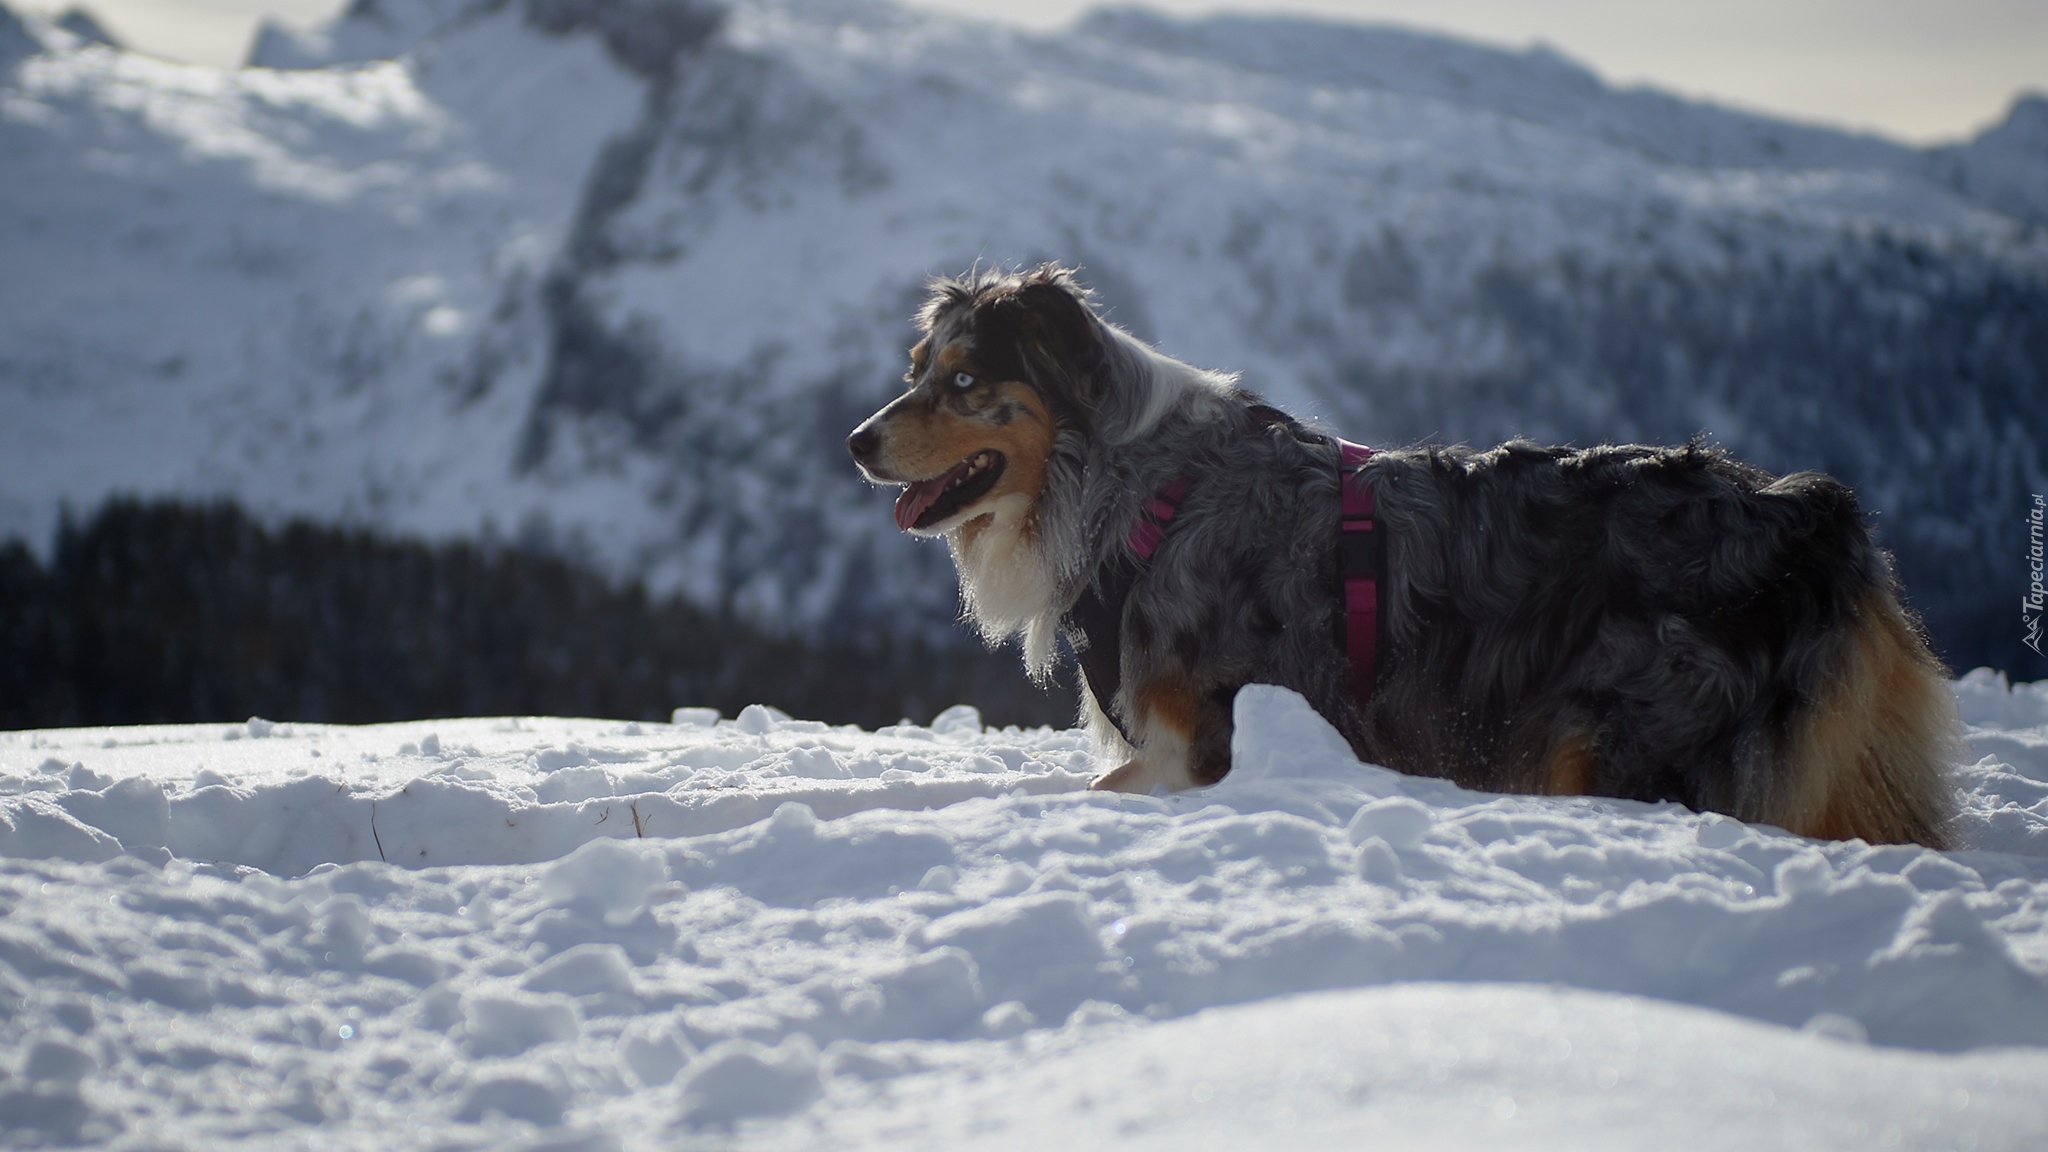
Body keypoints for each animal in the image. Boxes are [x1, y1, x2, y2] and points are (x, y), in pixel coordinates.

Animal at [843, 264, 1949, 848]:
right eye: (915, 369)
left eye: (964, 380)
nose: (854, 441)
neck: (1136, 494)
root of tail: (1811, 515)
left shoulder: (1198, 748)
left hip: (1631, 737)